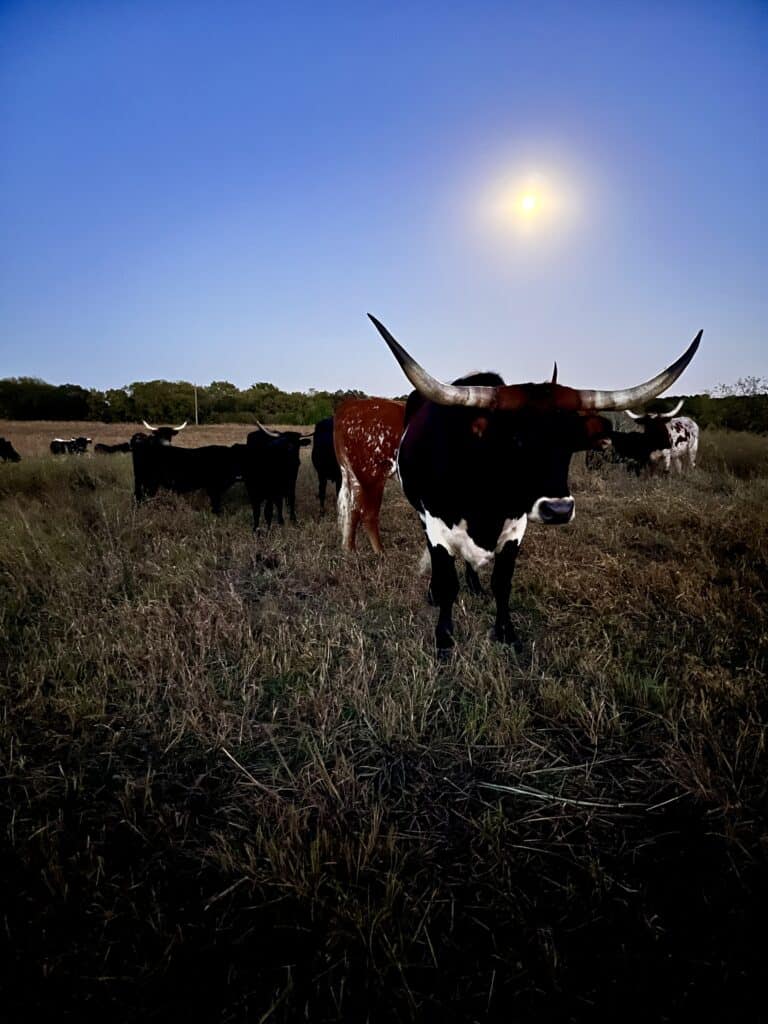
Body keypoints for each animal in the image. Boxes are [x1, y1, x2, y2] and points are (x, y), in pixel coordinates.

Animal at [333, 397, 406, 553]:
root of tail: (350, 404)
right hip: (371, 476)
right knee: (368, 514)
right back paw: (380, 552)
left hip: (354, 476)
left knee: (353, 510)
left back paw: (349, 550)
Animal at [367, 314, 701, 655]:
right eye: (516, 439)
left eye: (570, 442)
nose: (558, 509)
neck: (485, 497)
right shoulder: (436, 524)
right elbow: (448, 583)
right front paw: (445, 640)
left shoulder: (516, 527)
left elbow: (502, 582)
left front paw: (507, 634)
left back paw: (475, 585)